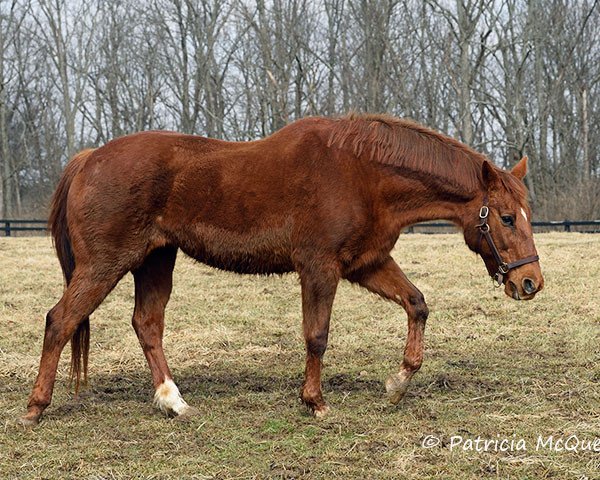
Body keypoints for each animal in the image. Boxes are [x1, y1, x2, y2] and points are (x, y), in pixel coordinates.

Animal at [18, 114, 544, 426]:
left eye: (526, 213)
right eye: (506, 217)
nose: (530, 282)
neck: (363, 172)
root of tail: (90, 158)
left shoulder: (367, 263)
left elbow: (416, 303)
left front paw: (398, 383)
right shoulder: (320, 268)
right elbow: (317, 335)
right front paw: (316, 402)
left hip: (154, 261)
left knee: (146, 324)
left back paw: (173, 401)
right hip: (105, 265)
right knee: (60, 321)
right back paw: (35, 408)